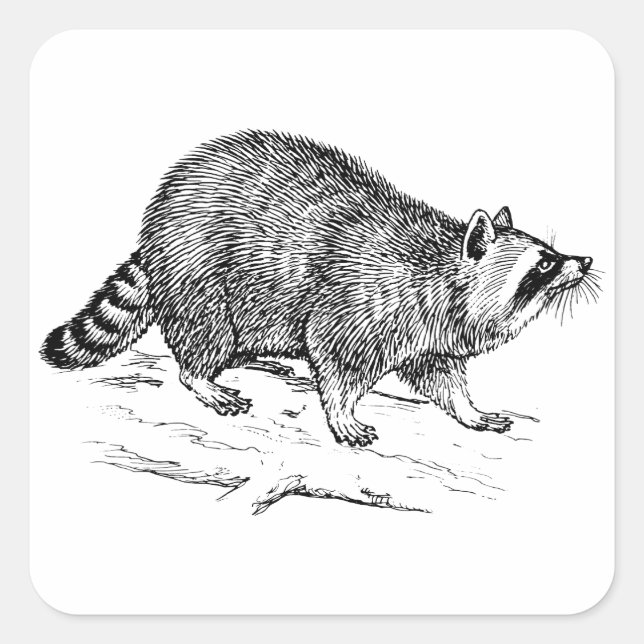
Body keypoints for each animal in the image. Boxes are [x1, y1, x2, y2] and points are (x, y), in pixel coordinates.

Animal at [41, 130, 600, 446]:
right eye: (545, 263)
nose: (587, 260)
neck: (443, 270)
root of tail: (155, 223)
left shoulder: (429, 335)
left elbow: (441, 376)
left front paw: (468, 410)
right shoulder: (360, 302)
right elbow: (336, 364)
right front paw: (342, 414)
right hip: (204, 274)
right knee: (204, 333)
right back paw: (202, 376)